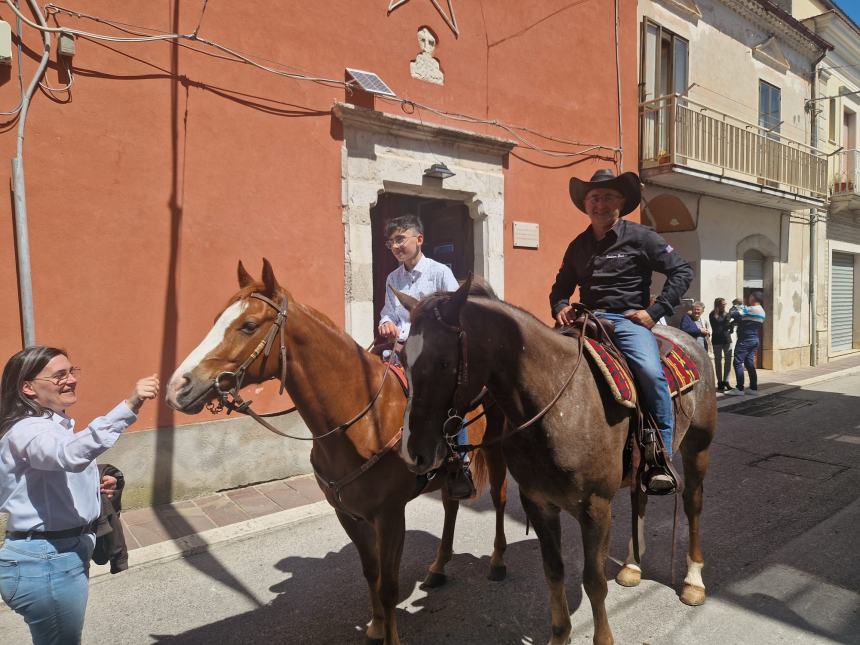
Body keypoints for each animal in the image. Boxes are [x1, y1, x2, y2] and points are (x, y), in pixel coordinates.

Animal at [165, 260, 508, 644]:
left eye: (248, 325)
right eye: (216, 320)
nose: (178, 386)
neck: (359, 417)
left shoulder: (390, 515)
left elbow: (389, 584)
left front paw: (389, 634)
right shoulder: (349, 514)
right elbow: (371, 572)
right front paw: (376, 625)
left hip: (499, 448)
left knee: (499, 498)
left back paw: (497, 561)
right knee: (451, 504)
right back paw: (438, 567)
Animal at [396, 278, 720, 644]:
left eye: (442, 362)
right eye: (402, 359)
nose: (412, 452)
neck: (556, 405)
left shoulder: (595, 507)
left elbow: (593, 581)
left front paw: (603, 638)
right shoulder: (538, 502)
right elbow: (554, 572)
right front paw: (560, 634)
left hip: (698, 448)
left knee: (693, 504)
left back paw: (693, 581)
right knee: (640, 498)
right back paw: (631, 566)